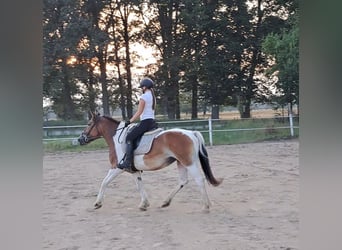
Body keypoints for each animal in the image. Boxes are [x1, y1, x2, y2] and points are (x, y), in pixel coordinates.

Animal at [77, 112, 222, 212]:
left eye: (89, 124)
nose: (80, 139)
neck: (116, 138)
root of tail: (191, 133)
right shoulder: (133, 170)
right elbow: (139, 185)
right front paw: (144, 204)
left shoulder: (117, 167)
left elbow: (104, 182)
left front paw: (97, 203)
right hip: (181, 162)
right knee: (183, 181)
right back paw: (165, 202)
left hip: (188, 163)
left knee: (199, 179)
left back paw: (206, 206)